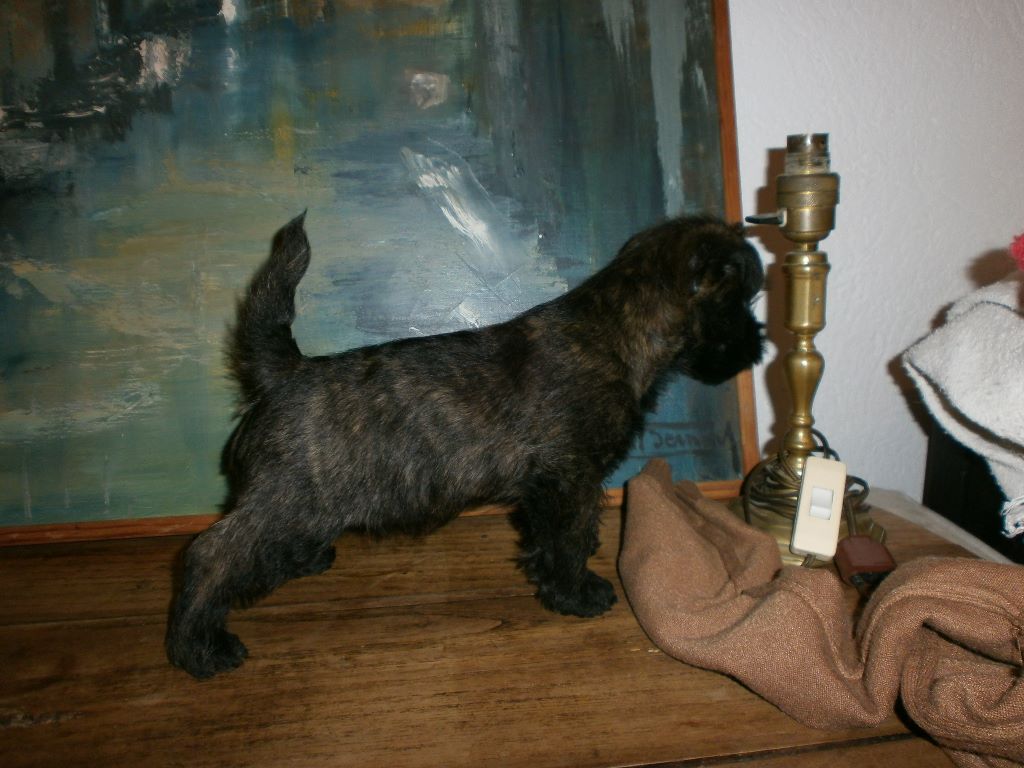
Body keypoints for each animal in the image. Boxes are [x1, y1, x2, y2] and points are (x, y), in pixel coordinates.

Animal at [166, 213, 764, 678]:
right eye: (742, 300)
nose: (759, 346)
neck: (618, 331)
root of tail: (286, 372)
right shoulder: (567, 477)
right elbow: (566, 539)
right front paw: (576, 594)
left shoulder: (562, 484)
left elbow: (566, 535)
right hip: (289, 497)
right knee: (212, 553)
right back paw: (199, 648)